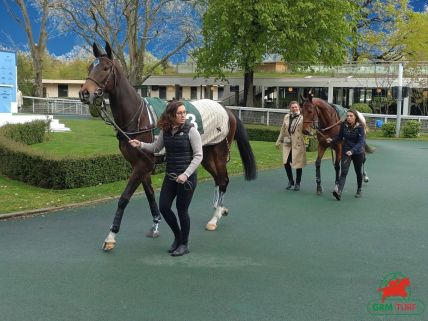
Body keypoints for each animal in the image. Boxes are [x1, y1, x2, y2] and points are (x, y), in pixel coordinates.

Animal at [78, 41, 256, 249]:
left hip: (219, 151)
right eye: (90, 67)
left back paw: (214, 218)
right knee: (218, 179)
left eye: (105, 68)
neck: (138, 116)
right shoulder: (141, 165)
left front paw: (111, 236)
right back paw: (219, 209)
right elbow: (150, 195)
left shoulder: (142, 164)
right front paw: (155, 224)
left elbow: (124, 198)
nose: (84, 93)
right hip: (204, 155)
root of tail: (227, 110)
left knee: (224, 179)